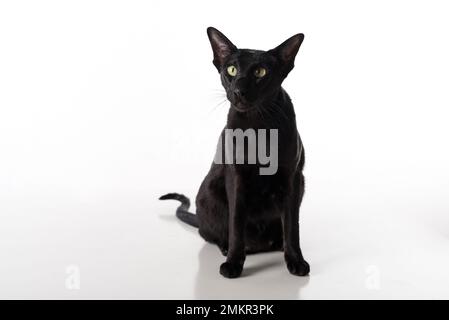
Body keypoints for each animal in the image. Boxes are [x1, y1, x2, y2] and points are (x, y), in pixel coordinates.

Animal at [158, 26, 308, 278]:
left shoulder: (292, 177)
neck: (259, 124)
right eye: (232, 69)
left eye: (260, 72)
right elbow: (236, 223)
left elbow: (292, 226)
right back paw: (228, 248)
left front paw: (296, 261)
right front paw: (233, 263)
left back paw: (276, 244)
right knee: (211, 233)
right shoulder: (236, 177)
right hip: (210, 191)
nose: (239, 90)